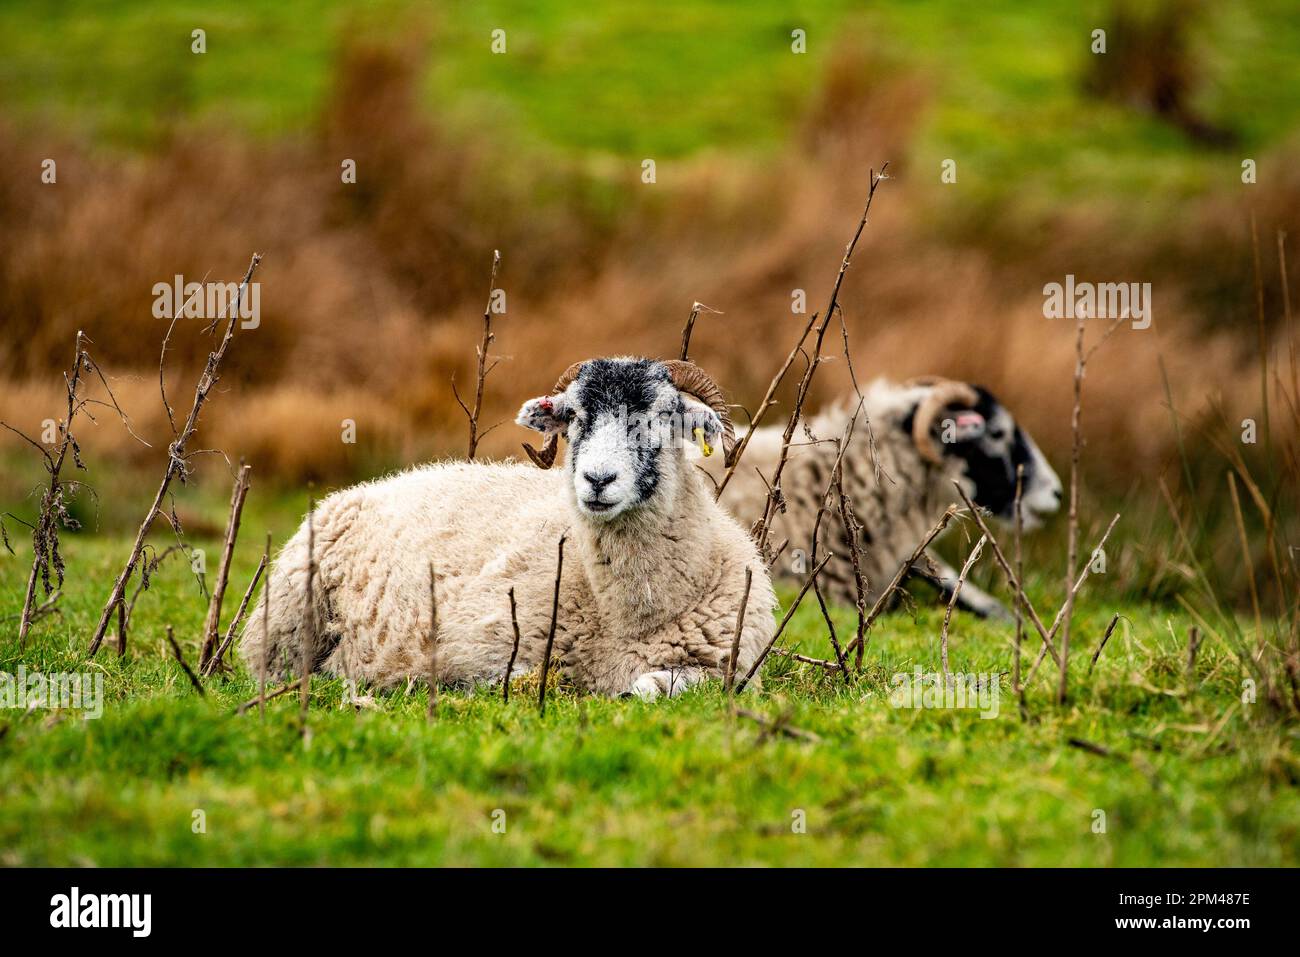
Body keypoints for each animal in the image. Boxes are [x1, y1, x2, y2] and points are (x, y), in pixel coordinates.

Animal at [239, 356, 769, 696]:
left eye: (661, 416)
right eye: (574, 417)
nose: (597, 479)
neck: (630, 618)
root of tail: (359, 489)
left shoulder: (735, 668)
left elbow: (657, 686)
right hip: (285, 626)